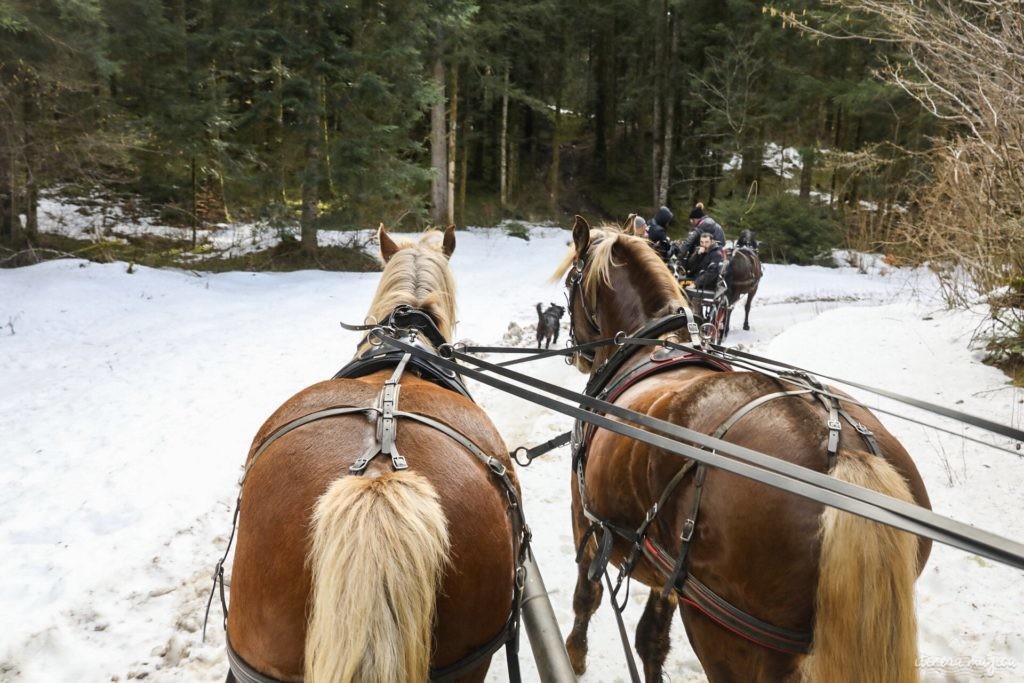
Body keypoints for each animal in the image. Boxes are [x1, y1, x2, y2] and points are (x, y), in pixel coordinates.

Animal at [557, 218, 933, 683]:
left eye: (571, 282)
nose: (577, 354)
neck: (652, 344)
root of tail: (843, 455)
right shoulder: (671, 574)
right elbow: (651, 640)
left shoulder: (584, 517)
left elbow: (585, 598)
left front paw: (573, 657)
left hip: (724, 631)